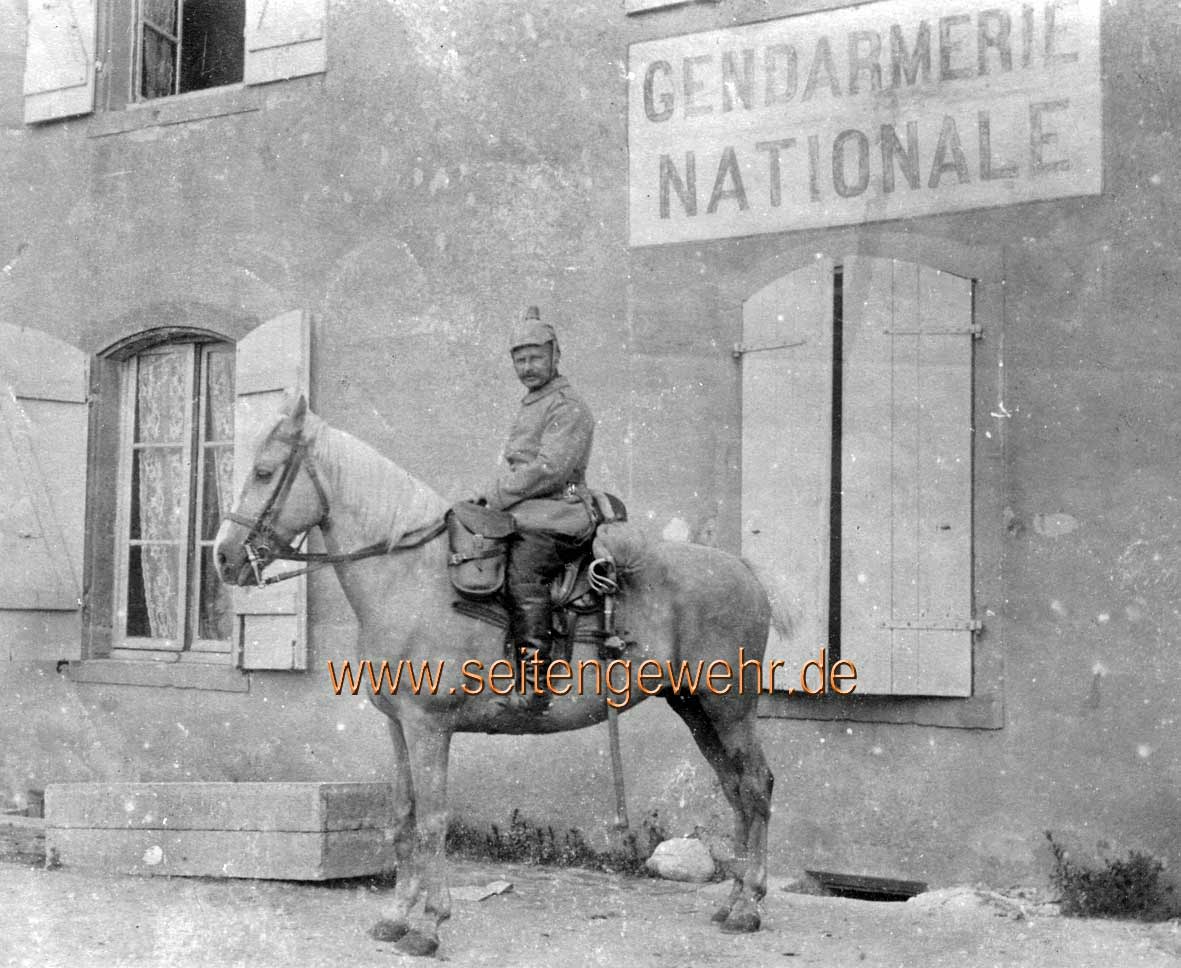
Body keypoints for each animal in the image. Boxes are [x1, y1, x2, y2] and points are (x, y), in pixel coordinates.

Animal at [214, 395, 785, 958]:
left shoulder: (428, 726)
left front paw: (429, 924)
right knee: (735, 788)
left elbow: (432, 821)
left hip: (729, 707)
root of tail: (743, 569)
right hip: (694, 708)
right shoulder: (398, 725)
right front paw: (396, 916)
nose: (222, 556)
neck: (410, 577)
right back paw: (732, 901)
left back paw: (749, 905)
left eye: (263, 471)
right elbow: (403, 818)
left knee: (755, 785)